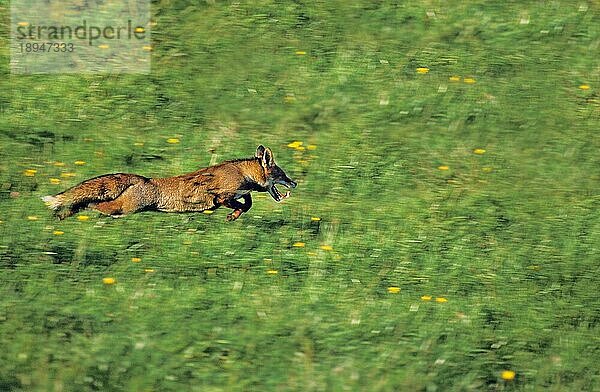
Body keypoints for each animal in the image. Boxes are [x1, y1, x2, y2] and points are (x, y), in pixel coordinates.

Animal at [41, 145, 296, 222]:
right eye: (282, 174)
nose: (294, 183)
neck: (241, 173)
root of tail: (142, 179)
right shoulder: (220, 196)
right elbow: (243, 205)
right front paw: (233, 215)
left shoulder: (237, 193)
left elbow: (248, 203)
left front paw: (233, 216)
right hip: (124, 209)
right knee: (91, 205)